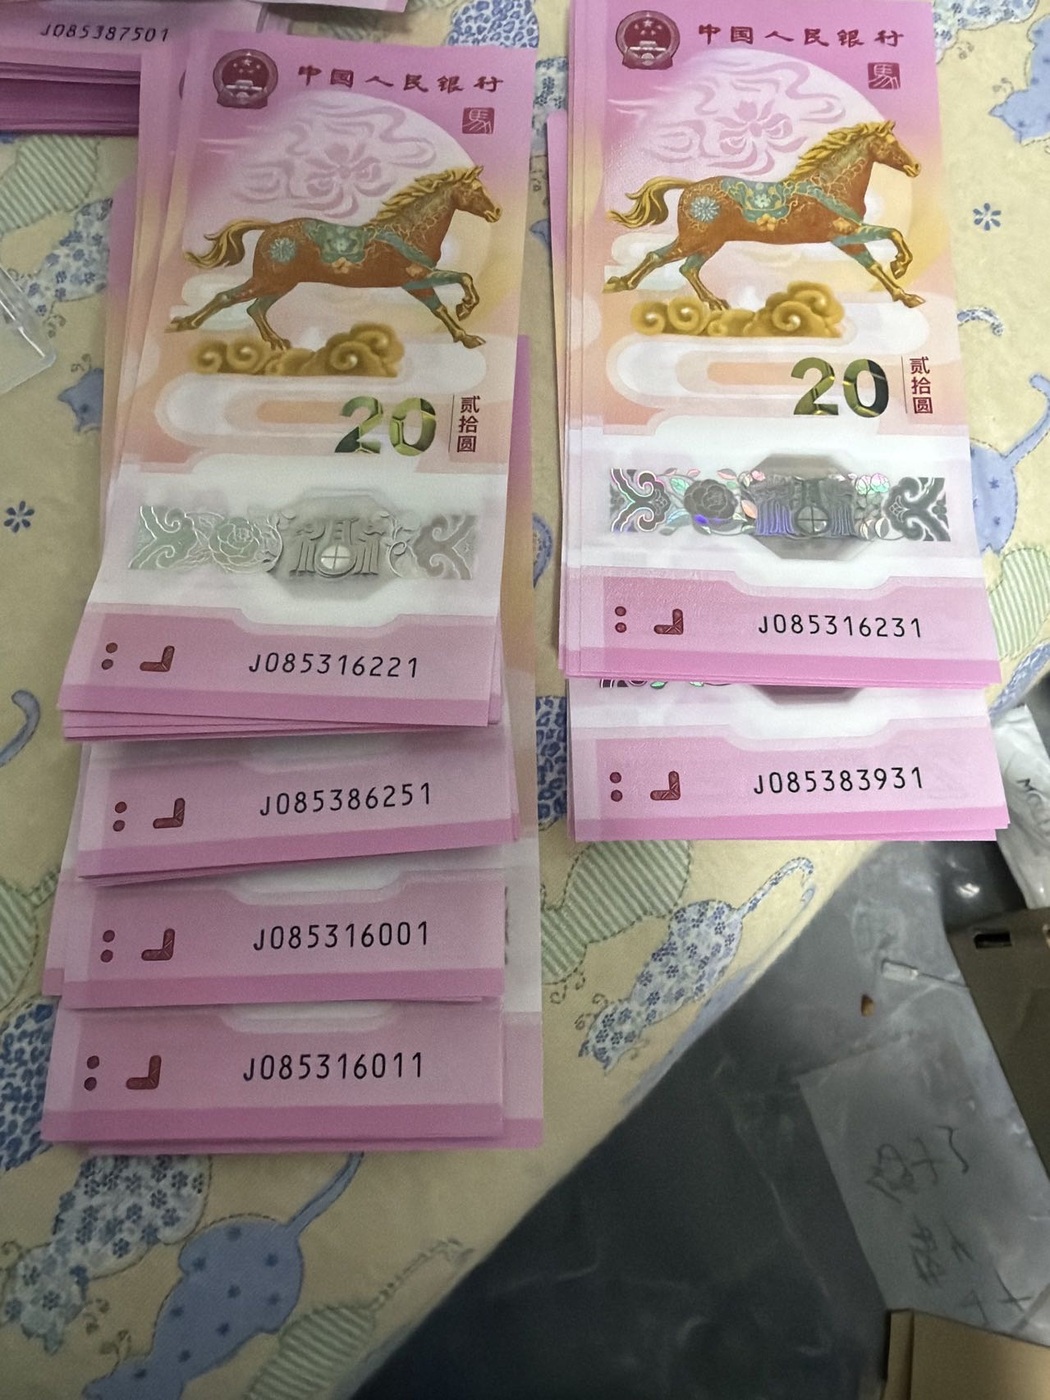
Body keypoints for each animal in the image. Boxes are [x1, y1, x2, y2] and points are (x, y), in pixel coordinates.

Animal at [169, 166, 500, 351]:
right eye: (474, 190)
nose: (496, 212)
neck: (411, 231)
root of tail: (270, 228)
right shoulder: (413, 279)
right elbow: (460, 280)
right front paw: (465, 311)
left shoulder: (417, 282)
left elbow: (444, 303)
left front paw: (467, 333)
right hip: (269, 279)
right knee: (227, 297)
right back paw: (185, 323)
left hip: (280, 283)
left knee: (255, 308)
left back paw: (277, 342)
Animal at [604, 120, 923, 311]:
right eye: (891, 144)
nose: (916, 166)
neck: (831, 185)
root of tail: (689, 187)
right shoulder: (844, 234)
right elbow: (893, 233)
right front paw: (900, 265)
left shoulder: (848, 239)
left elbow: (875, 266)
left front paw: (907, 296)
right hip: (696, 238)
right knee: (659, 257)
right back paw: (622, 284)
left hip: (708, 242)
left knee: (685, 267)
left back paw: (713, 302)